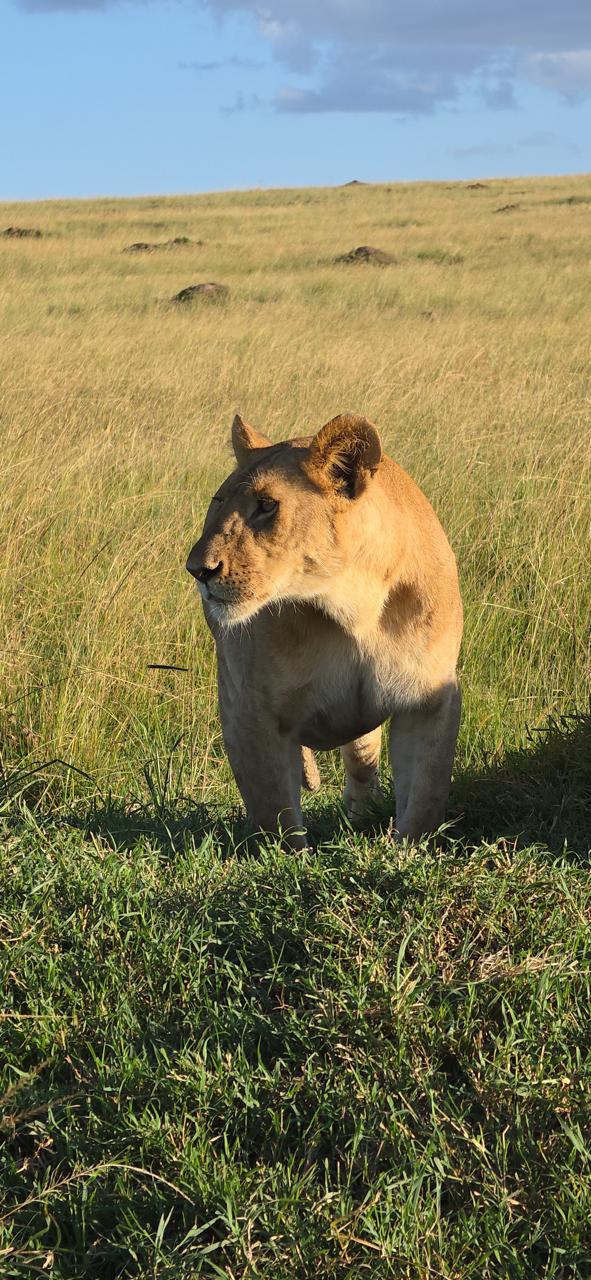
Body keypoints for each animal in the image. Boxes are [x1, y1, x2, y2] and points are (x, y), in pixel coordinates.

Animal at [186, 412, 463, 850]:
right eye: (218, 503)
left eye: (267, 506)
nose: (197, 569)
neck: (349, 606)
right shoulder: (249, 705)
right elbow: (272, 806)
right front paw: (286, 860)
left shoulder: (427, 698)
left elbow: (427, 791)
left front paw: (408, 850)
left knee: (363, 756)